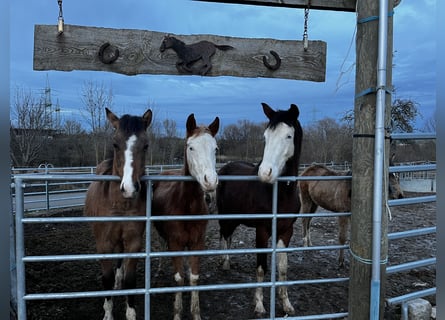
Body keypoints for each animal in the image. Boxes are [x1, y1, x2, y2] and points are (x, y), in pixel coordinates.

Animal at [84, 108, 152, 320]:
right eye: (115, 143)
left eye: (146, 145)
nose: (130, 188)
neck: (120, 204)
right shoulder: (103, 243)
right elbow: (106, 279)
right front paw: (108, 313)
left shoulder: (133, 242)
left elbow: (130, 279)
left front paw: (130, 313)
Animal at [152, 113, 219, 320]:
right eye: (191, 147)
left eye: (215, 149)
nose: (210, 181)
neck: (187, 207)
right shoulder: (175, 243)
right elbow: (179, 278)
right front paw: (177, 312)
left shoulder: (198, 242)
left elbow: (194, 277)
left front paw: (195, 313)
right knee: (160, 243)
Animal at [215, 103, 302, 318]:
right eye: (265, 136)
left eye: (288, 136)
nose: (265, 173)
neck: (280, 194)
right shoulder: (262, 230)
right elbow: (261, 267)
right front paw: (260, 305)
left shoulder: (286, 231)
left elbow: (283, 267)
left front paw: (286, 304)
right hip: (226, 215)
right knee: (223, 234)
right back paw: (224, 262)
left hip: (236, 218)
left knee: (227, 235)